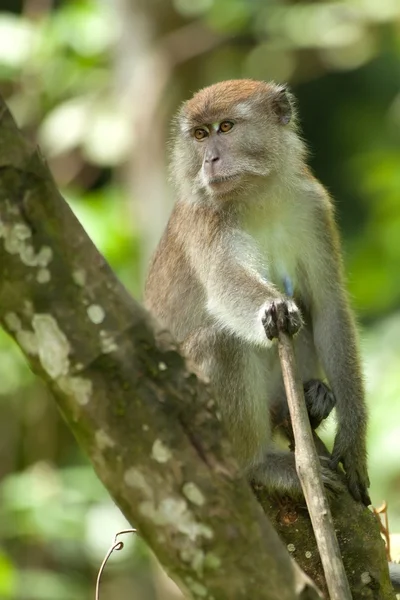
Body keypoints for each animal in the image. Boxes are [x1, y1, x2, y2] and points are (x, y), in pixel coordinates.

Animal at [145, 77, 370, 504]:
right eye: (200, 135)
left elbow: (328, 307)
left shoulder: (312, 205)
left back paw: (313, 400)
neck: (256, 196)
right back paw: (259, 465)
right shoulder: (205, 220)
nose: (209, 160)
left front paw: (353, 440)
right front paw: (273, 308)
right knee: (219, 342)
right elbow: (227, 286)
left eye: (226, 127)